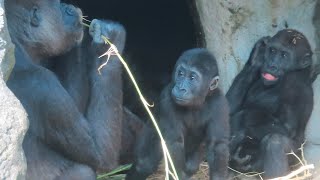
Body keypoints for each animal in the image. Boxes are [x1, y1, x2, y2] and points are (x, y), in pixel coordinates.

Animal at [5, 0, 142, 179]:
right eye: (57, 5)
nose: (67, 6)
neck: (20, 49)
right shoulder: (44, 86)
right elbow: (100, 153)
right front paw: (108, 42)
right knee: (84, 171)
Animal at [125, 48, 230, 180]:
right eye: (180, 74)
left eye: (192, 77)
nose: (181, 88)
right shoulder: (167, 99)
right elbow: (175, 143)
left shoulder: (220, 103)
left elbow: (217, 145)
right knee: (144, 163)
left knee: (191, 165)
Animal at [226, 29, 314, 179]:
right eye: (272, 50)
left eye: (284, 55)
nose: (272, 65)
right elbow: (229, 108)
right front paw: (257, 55)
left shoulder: (294, 84)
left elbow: (286, 128)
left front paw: (239, 134)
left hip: (296, 160)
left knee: (275, 142)